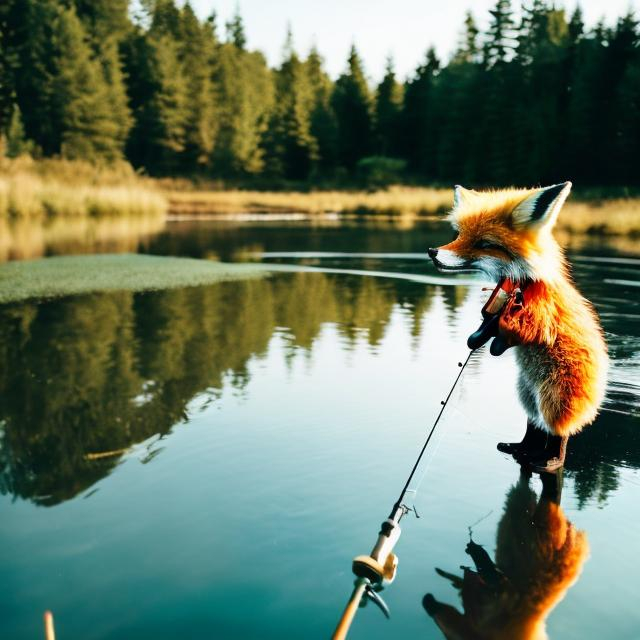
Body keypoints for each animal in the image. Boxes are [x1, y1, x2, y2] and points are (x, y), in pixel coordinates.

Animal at [428, 182, 608, 472]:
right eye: (459, 235)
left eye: (484, 244)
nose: (433, 253)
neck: (524, 283)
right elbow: (484, 329)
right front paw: (477, 339)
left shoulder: (540, 311)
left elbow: (519, 331)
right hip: (527, 391)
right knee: (534, 423)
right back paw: (521, 448)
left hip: (556, 395)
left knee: (558, 430)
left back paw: (550, 460)